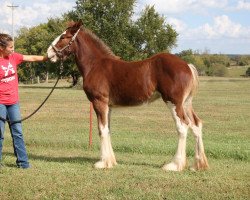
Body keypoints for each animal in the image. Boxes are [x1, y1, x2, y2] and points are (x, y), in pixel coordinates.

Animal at [47, 21, 209, 172]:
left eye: (63, 36)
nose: (49, 53)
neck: (95, 65)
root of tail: (187, 66)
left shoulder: (99, 102)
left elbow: (102, 130)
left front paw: (102, 163)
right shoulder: (108, 106)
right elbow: (107, 129)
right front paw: (110, 161)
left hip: (174, 102)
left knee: (183, 126)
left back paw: (175, 165)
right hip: (186, 103)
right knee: (196, 125)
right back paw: (198, 165)